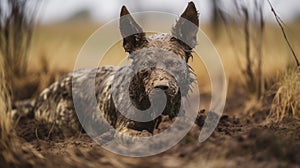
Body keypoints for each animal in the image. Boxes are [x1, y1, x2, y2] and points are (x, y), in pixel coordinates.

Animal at [15, 1, 200, 137]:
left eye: (174, 63)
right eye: (145, 66)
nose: (161, 87)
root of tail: (41, 95)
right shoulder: (124, 128)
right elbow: (145, 134)